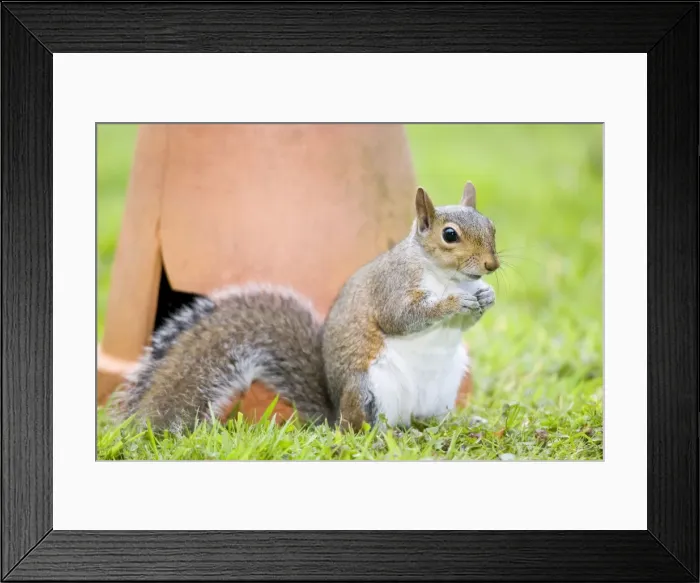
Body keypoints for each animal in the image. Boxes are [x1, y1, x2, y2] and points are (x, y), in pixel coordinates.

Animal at [107, 181, 499, 434]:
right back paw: (387, 435)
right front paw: (454, 302)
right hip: (370, 389)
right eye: (449, 235)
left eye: (492, 226)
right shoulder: (393, 286)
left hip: (445, 387)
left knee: (426, 418)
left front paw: (486, 297)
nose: (492, 265)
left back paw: (456, 422)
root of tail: (336, 413)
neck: (446, 275)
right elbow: (401, 317)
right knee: (363, 429)